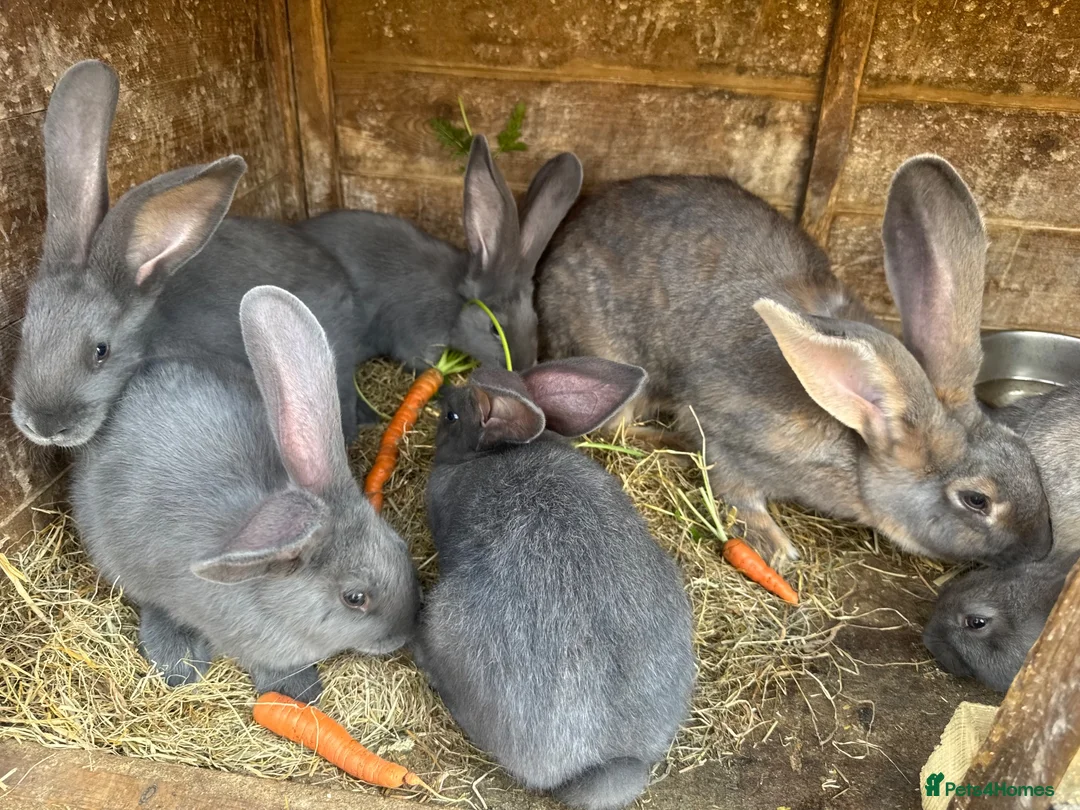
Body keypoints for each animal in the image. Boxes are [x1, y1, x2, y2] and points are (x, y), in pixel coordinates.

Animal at [535, 156, 1052, 567]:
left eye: (1026, 456)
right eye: (977, 500)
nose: (1041, 550)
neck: (857, 440)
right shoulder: (727, 431)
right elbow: (734, 487)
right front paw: (776, 548)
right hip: (613, 362)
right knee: (616, 427)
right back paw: (664, 441)